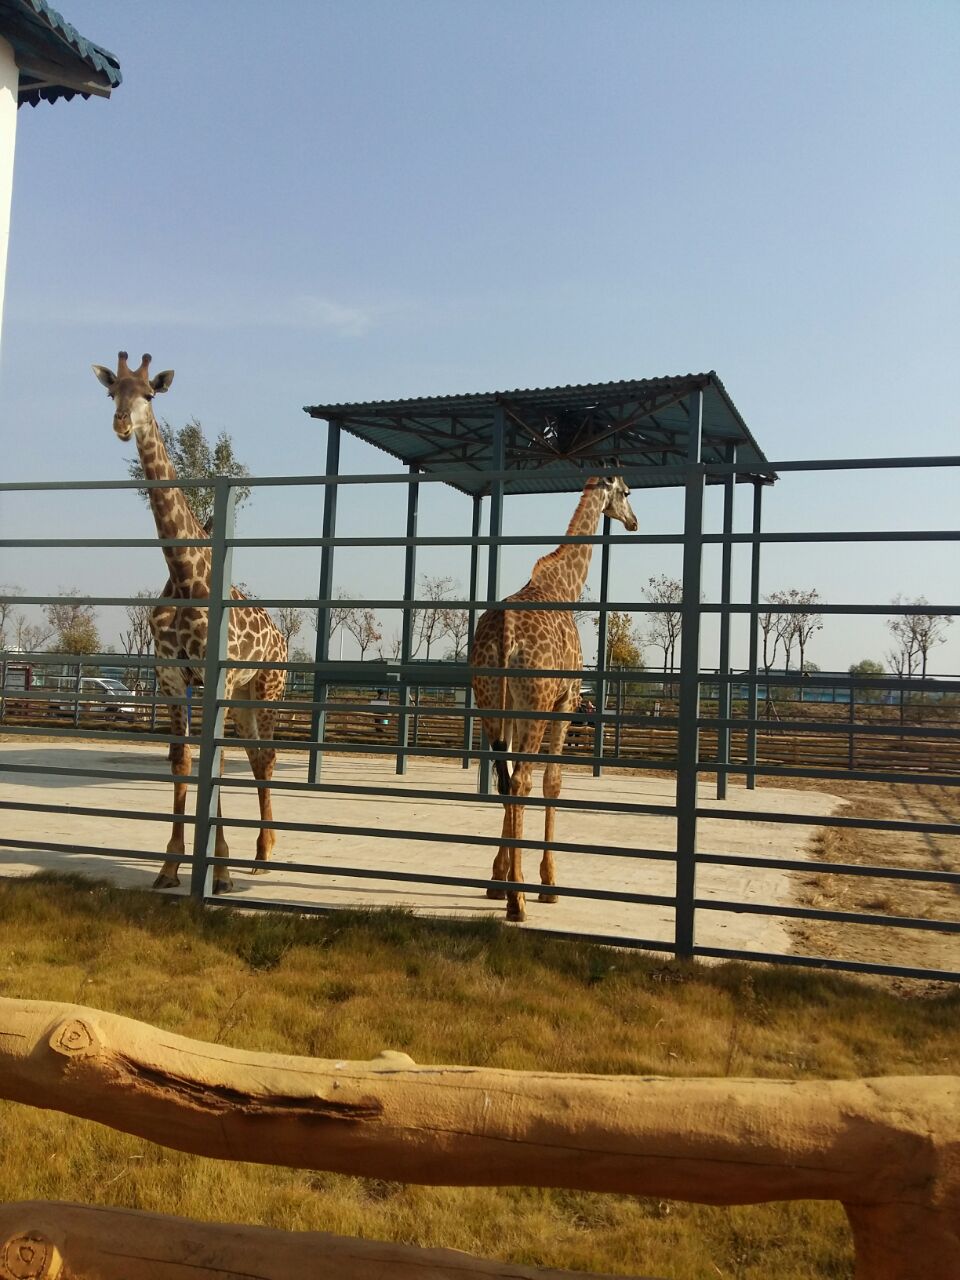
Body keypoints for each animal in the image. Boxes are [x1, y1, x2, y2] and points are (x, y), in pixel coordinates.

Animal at [91, 350, 288, 890]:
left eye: (149, 394)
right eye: (112, 390)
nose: (121, 424)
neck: (183, 574)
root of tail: (283, 638)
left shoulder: (212, 675)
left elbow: (212, 760)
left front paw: (219, 871)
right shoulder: (171, 675)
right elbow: (182, 760)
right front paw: (170, 866)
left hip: (267, 687)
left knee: (266, 757)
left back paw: (264, 853)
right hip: (243, 697)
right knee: (252, 755)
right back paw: (258, 850)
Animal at [471, 478, 640, 921]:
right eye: (627, 492)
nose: (634, 522)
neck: (565, 587)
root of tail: (505, 636)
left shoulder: (512, 711)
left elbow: (512, 780)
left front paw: (497, 878)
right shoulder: (567, 700)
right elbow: (553, 782)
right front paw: (548, 882)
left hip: (489, 703)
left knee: (506, 780)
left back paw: (506, 887)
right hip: (538, 703)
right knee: (524, 780)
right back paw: (519, 902)